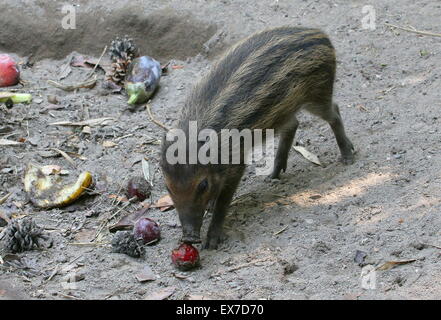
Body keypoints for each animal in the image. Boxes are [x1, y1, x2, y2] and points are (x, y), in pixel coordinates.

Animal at [161, 25, 354, 250]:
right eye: (168, 187)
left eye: (203, 185)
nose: (189, 238)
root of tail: (320, 34)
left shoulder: (236, 163)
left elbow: (224, 202)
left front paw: (212, 241)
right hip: (286, 110)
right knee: (294, 124)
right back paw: (273, 175)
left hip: (318, 93)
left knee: (334, 112)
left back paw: (348, 157)